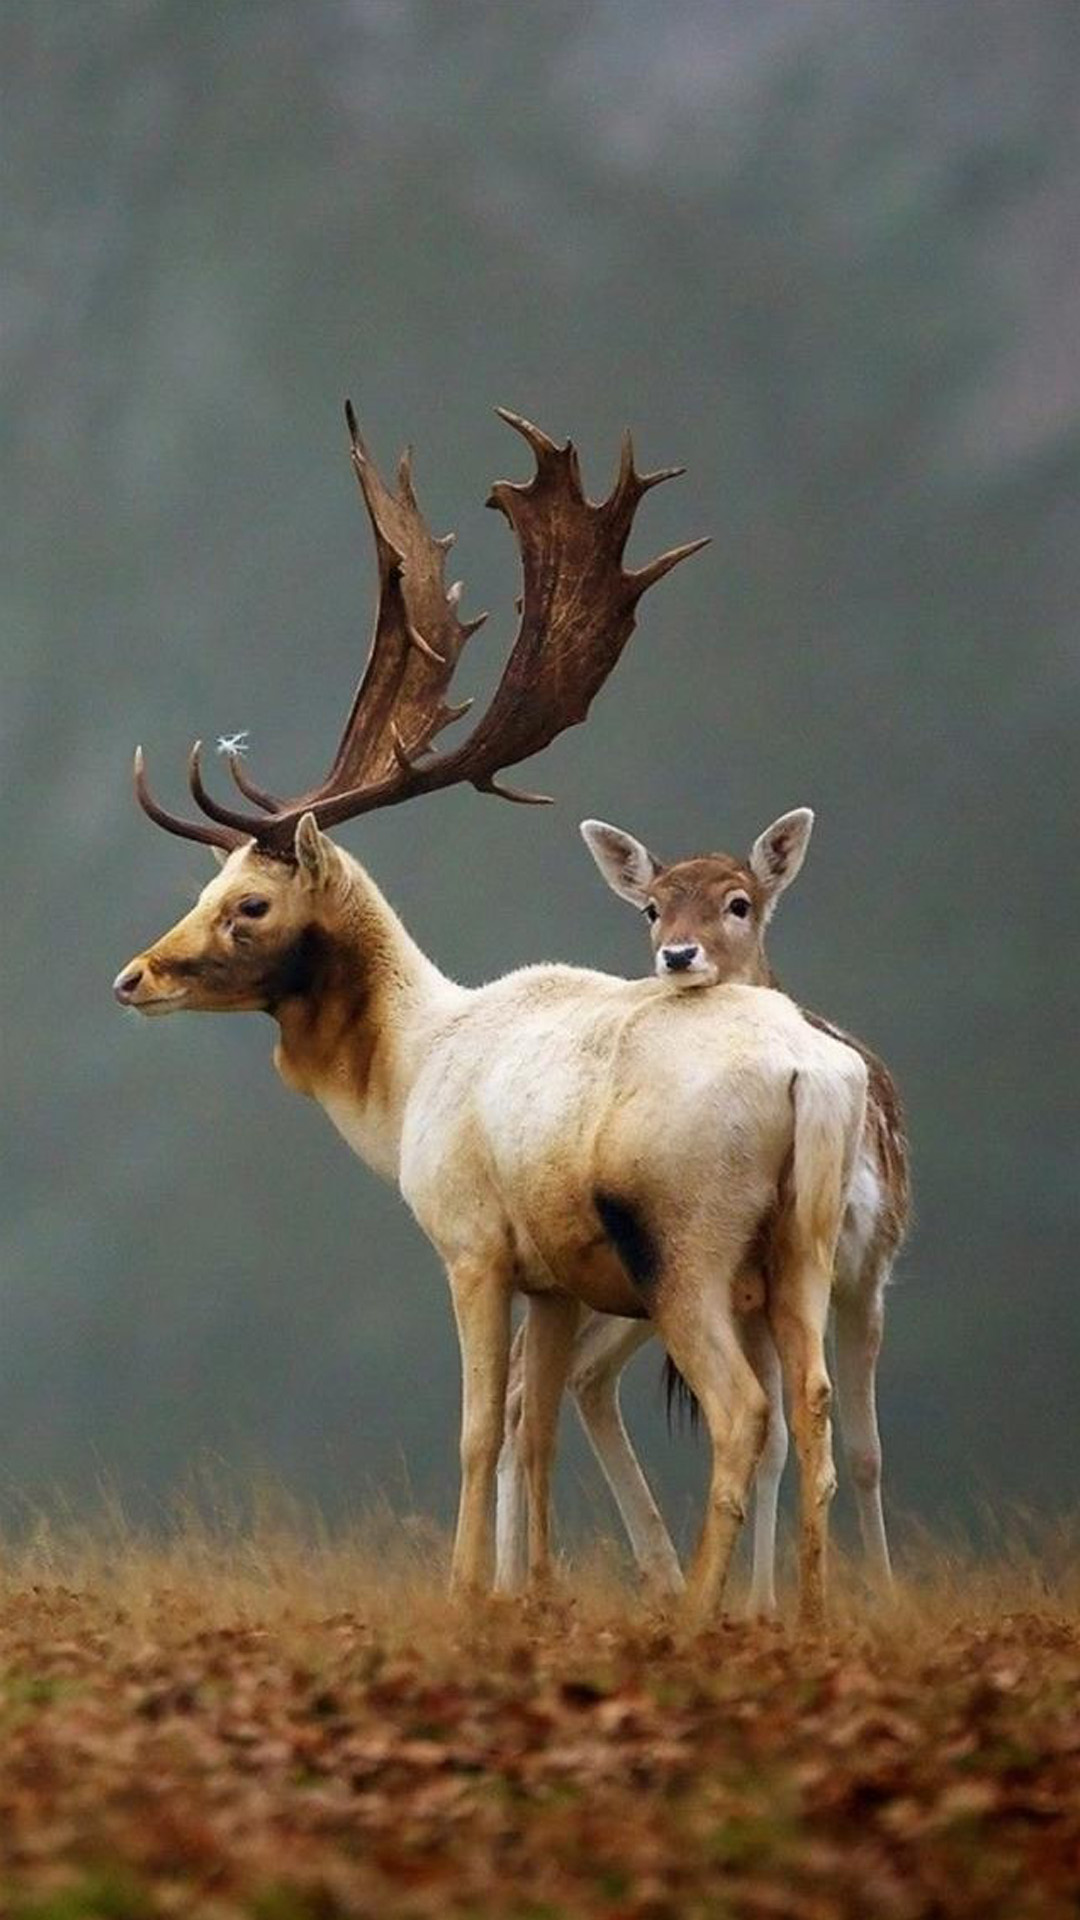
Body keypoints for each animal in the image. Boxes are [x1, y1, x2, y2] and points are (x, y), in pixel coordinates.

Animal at [111, 401, 864, 1620]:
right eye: (205, 884)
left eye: (250, 903)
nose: (133, 976)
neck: (409, 1076)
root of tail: (814, 1076)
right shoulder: (553, 1275)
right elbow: (534, 1431)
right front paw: (535, 1593)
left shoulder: (470, 1241)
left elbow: (476, 1429)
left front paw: (467, 1591)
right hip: (804, 1243)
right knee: (817, 1409)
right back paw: (804, 1616)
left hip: (688, 1242)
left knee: (744, 1411)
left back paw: (697, 1614)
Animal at [499, 802, 907, 1612]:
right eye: (652, 907)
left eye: (738, 902)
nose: (678, 955)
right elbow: (785, 1438)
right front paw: (762, 1604)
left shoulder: (868, 1266)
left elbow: (861, 1447)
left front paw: (870, 1595)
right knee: (534, 1379)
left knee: (571, 1379)